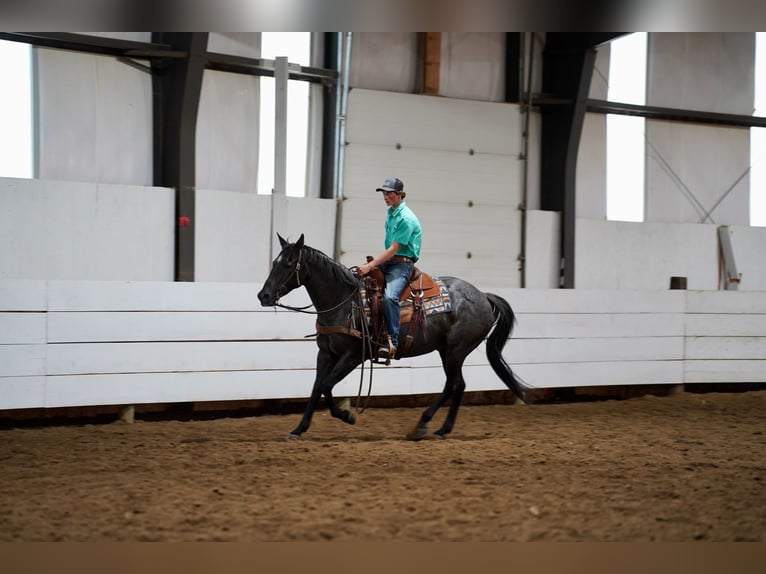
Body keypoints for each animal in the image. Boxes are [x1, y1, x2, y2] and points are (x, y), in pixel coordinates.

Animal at [255, 236, 532, 444]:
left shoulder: (353, 356)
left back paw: (428, 427)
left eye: (290, 263)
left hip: (456, 350)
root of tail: (483, 296)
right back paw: (435, 428)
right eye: (275, 261)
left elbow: (326, 385)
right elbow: (316, 388)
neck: (344, 301)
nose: (263, 295)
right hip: (446, 350)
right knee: (456, 385)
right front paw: (298, 429)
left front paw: (347, 416)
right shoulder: (326, 353)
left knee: (455, 384)